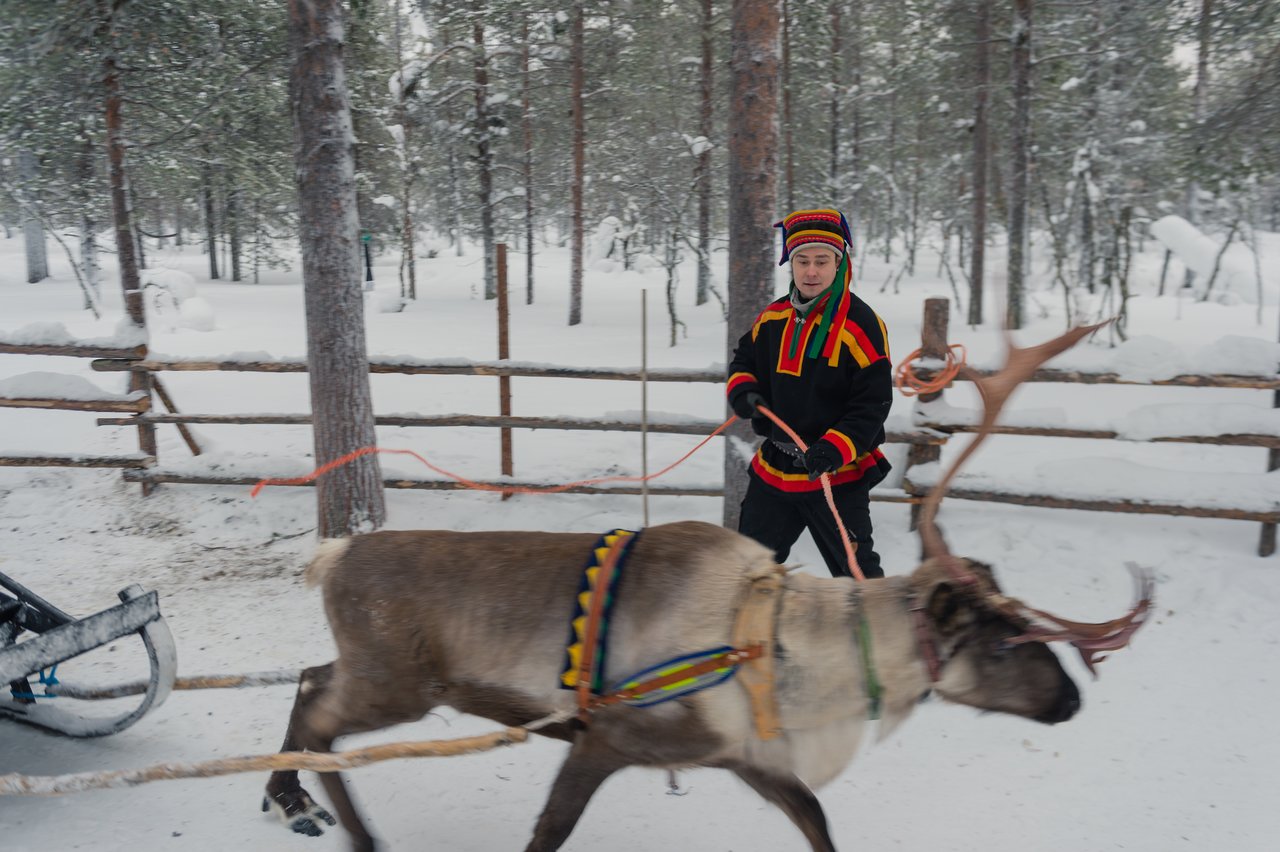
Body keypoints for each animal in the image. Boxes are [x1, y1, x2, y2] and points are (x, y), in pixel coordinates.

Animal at [260, 322, 1152, 852]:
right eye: (1001, 642)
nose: (1071, 701)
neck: (784, 652)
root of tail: (335, 556)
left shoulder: (743, 756)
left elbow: (816, 819)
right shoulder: (608, 738)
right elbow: (547, 833)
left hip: (386, 678)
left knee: (307, 680)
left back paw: (290, 799)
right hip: (400, 685)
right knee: (321, 712)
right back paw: (348, 829)